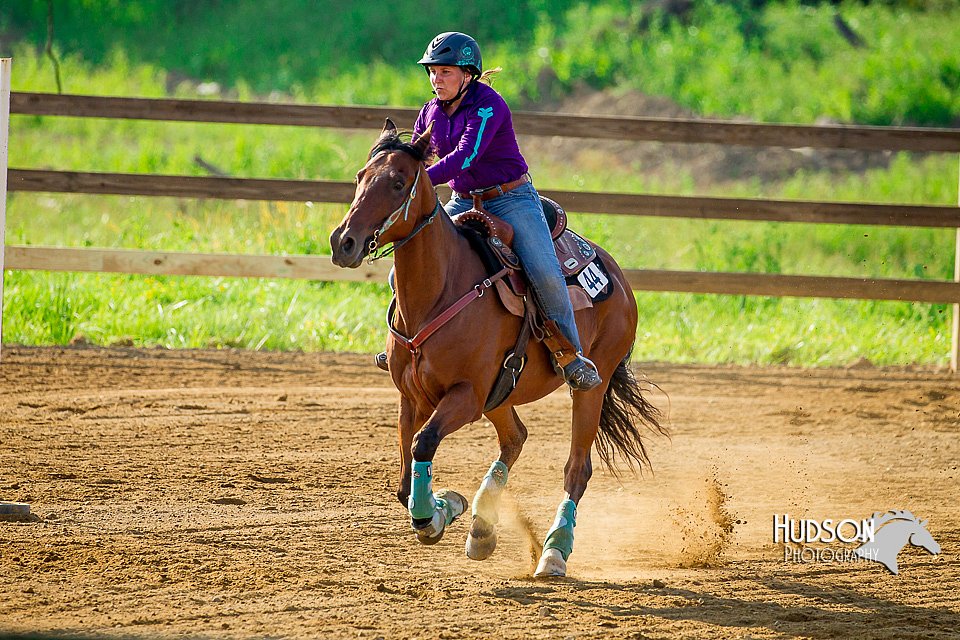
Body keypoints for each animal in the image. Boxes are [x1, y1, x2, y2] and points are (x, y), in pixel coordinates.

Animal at [326, 117, 664, 576]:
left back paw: (554, 551)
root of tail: (616, 272)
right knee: (516, 437)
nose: (343, 242)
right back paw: (482, 527)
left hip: (589, 384)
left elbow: (424, 444)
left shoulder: (466, 396)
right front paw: (448, 506)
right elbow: (404, 480)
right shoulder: (411, 398)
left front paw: (432, 518)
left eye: (397, 182)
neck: (441, 289)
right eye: (360, 177)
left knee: (577, 468)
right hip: (501, 393)